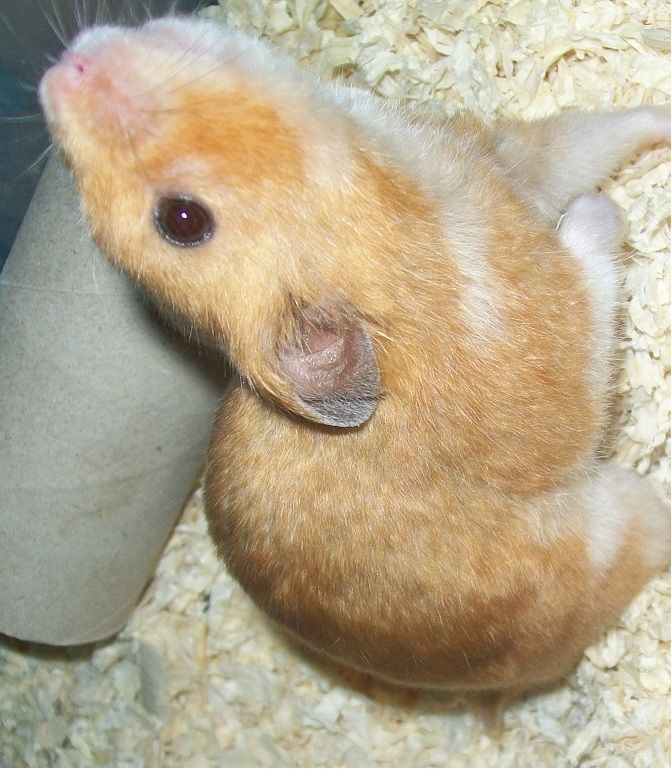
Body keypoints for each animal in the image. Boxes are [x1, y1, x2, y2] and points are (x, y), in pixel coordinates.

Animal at [39, 16, 670, 700]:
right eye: (182, 220)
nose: (60, 70)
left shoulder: (500, 157)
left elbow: (586, 139)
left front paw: (661, 113)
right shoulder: (553, 355)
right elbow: (585, 259)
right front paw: (605, 211)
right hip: (616, 522)